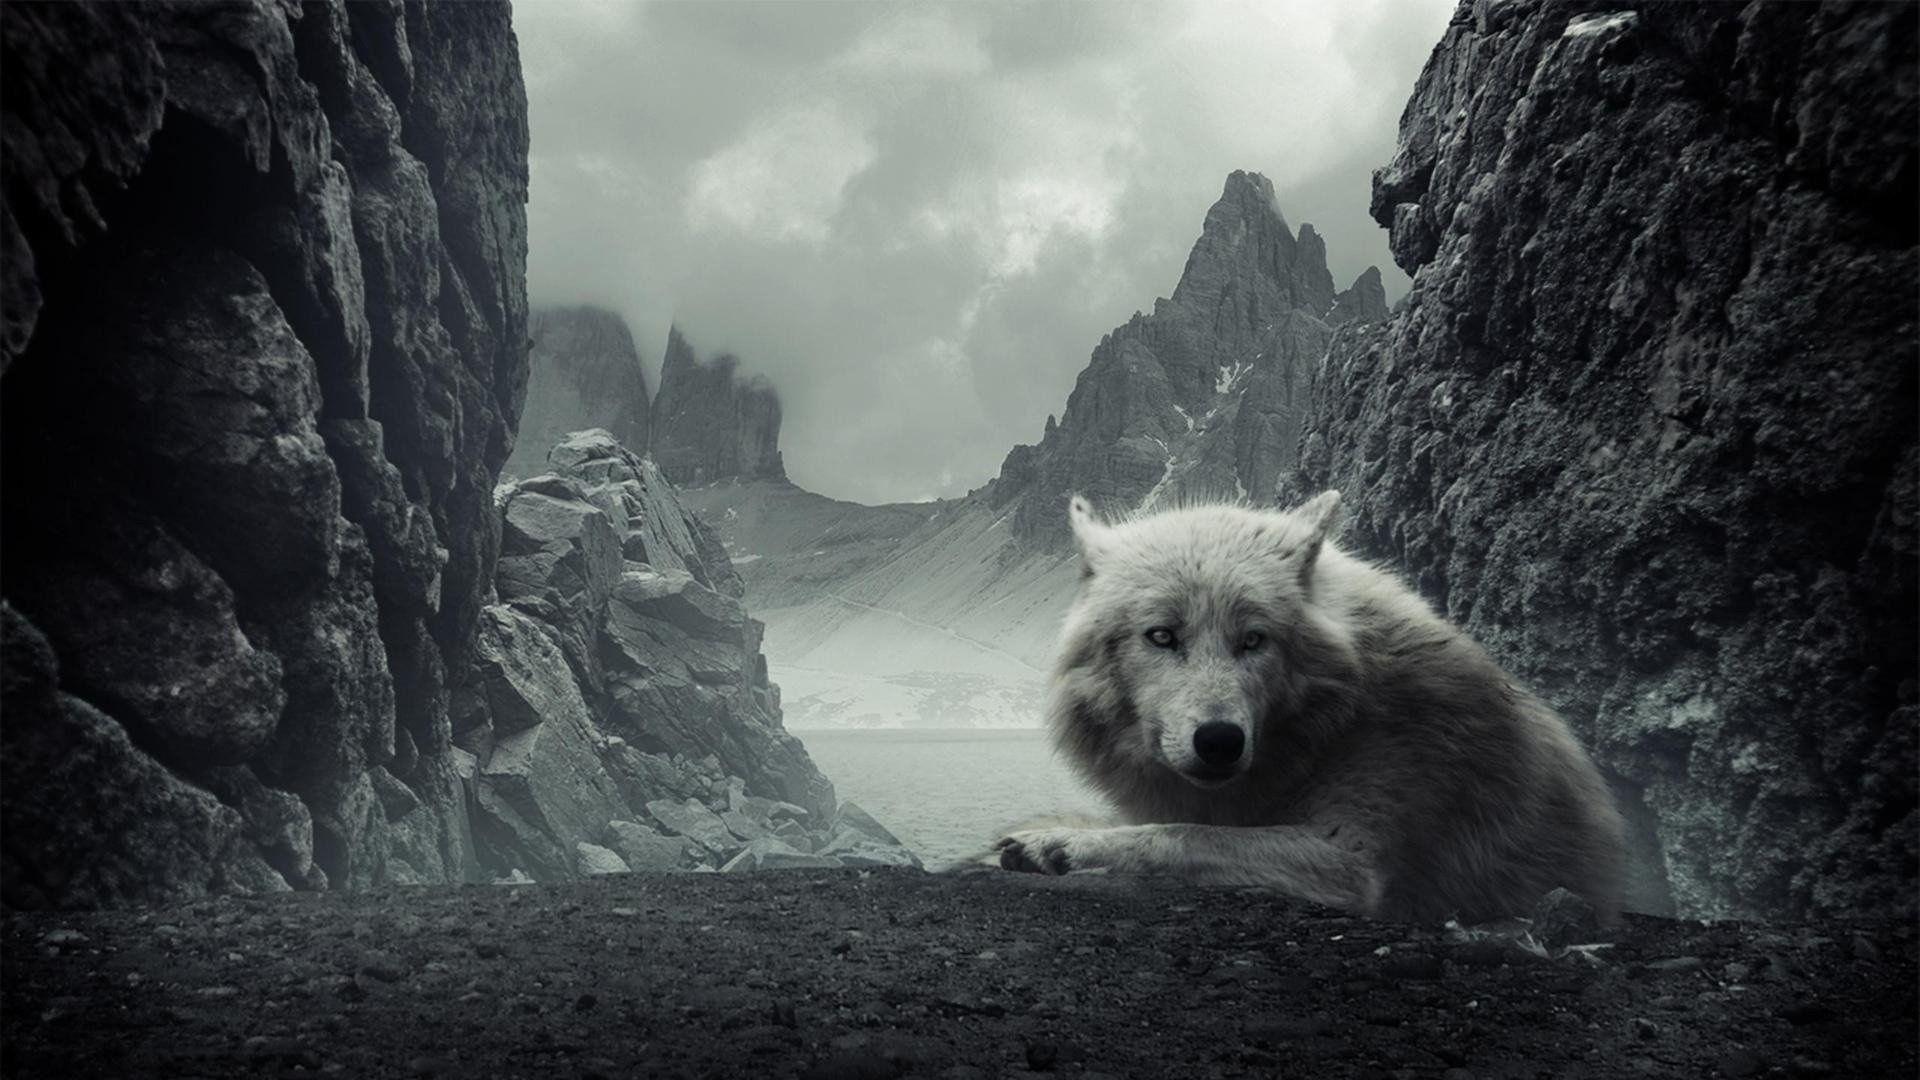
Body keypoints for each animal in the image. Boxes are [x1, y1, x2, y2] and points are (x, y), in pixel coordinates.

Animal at [994, 491, 1626, 923]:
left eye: (1254, 640)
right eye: (1162, 636)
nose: (1219, 741)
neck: (1332, 727)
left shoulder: (1353, 860)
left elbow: (1183, 835)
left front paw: (1060, 843)